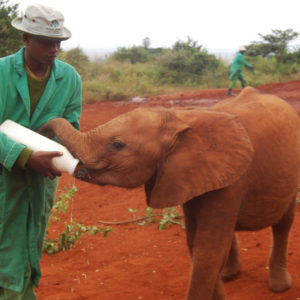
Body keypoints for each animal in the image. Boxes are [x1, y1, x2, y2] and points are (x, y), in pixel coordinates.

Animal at [39, 86, 300, 298]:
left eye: (117, 145)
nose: (41, 131)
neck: (178, 118)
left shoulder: (228, 182)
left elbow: (208, 250)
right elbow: (196, 244)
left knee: (283, 222)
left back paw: (279, 287)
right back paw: (229, 275)